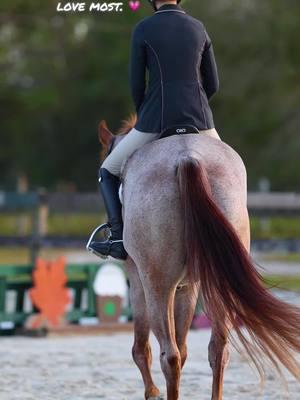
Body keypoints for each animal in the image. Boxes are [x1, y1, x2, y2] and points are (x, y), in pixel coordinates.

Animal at [96, 114, 300, 398]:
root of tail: (188, 157)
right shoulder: (188, 286)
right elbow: (184, 349)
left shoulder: (137, 279)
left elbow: (142, 347)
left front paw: (153, 392)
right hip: (216, 281)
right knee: (217, 349)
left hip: (157, 285)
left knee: (168, 355)